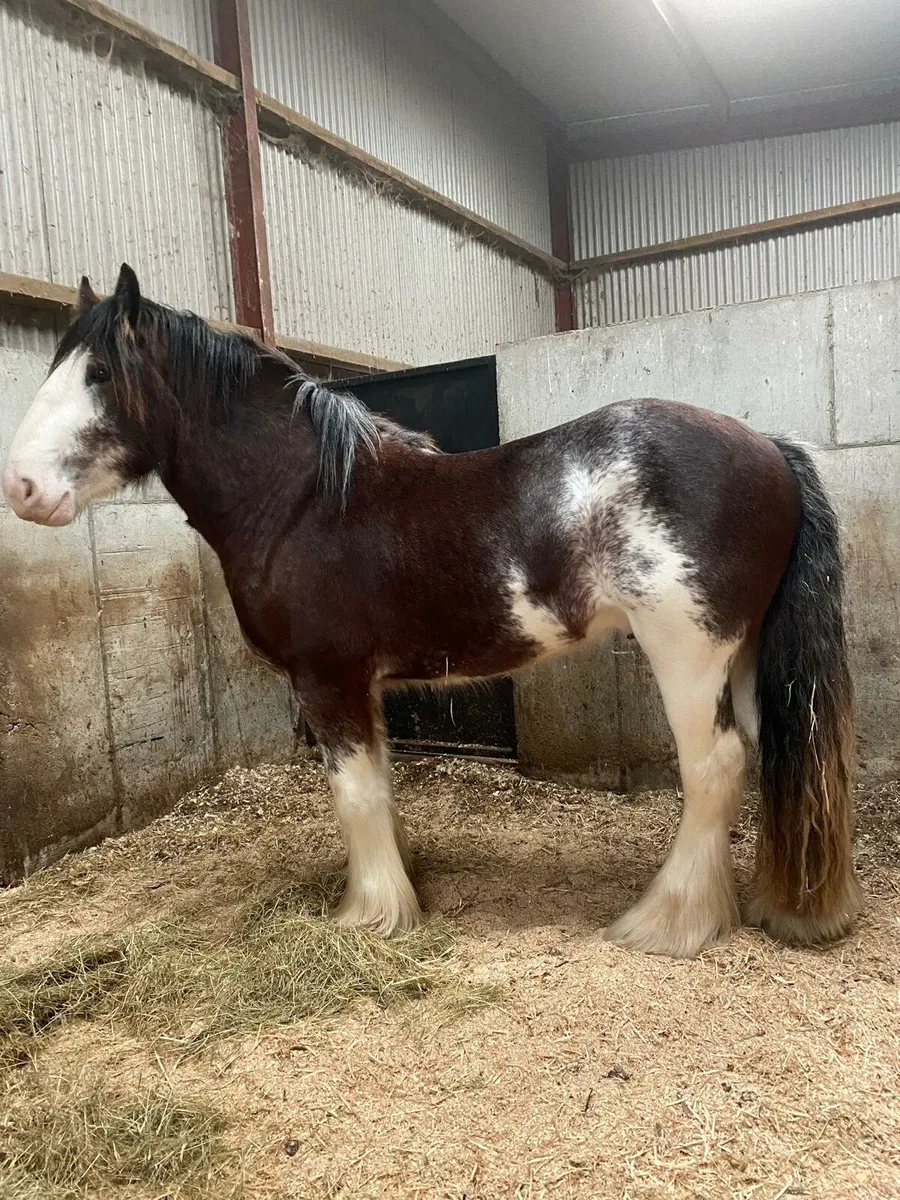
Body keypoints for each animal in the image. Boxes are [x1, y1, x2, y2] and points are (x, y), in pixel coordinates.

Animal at [2, 264, 862, 958]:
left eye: (99, 372)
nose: (22, 489)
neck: (304, 499)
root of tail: (767, 446)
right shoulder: (361, 686)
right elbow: (379, 786)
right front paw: (395, 886)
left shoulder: (328, 680)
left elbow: (353, 793)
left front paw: (370, 914)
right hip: (742, 656)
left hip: (687, 653)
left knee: (714, 767)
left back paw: (668, 922)